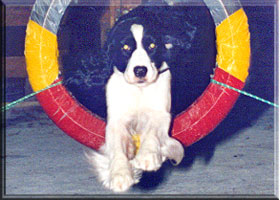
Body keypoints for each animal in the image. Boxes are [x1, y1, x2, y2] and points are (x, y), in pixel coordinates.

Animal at [61, 4, 214, 192]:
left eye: (152, 46)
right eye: (126, 48)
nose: (140, 70)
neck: (139, 90)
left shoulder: (160, 111)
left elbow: (152, 131)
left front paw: (147, 157)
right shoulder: (117, 118)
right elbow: (117, 146)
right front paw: (120, 175)